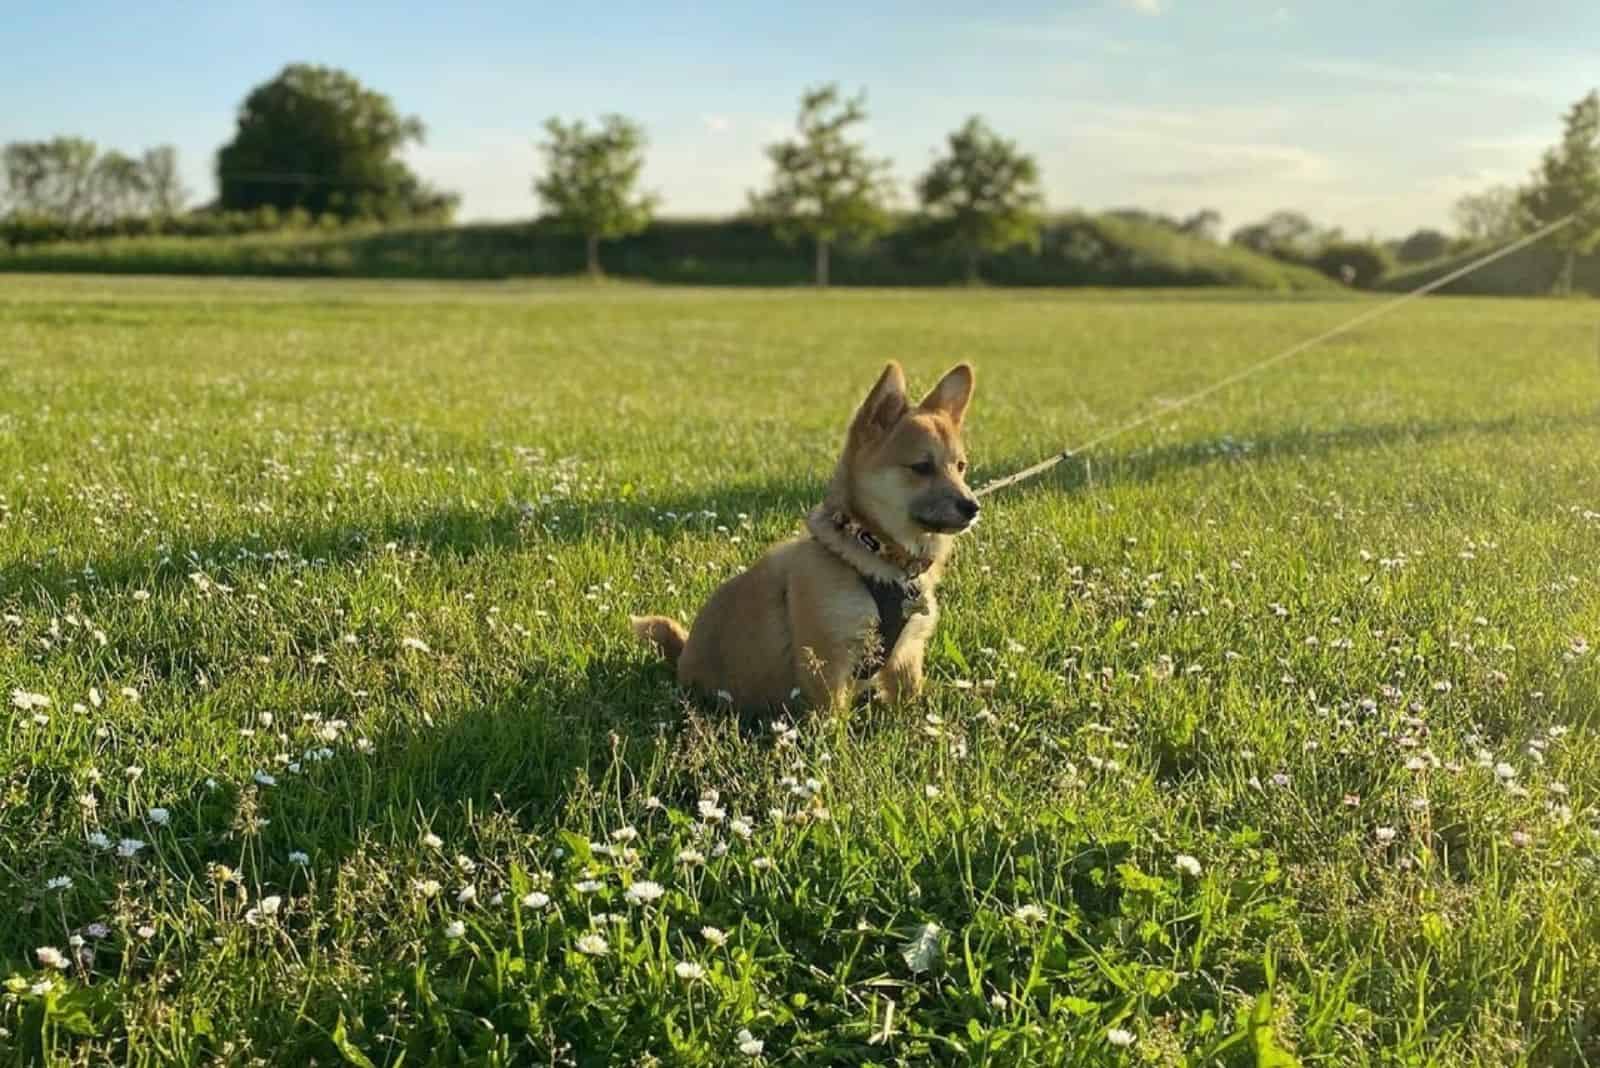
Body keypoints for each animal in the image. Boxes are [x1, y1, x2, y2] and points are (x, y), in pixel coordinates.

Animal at [633, 362, 979, 713]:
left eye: (961, 467)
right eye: (921, 467)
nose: (972, 506)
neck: (876, 551)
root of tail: (682, 656)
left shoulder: (906, 658)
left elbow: (908, 704)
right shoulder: (826, 664)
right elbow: (833, 718)